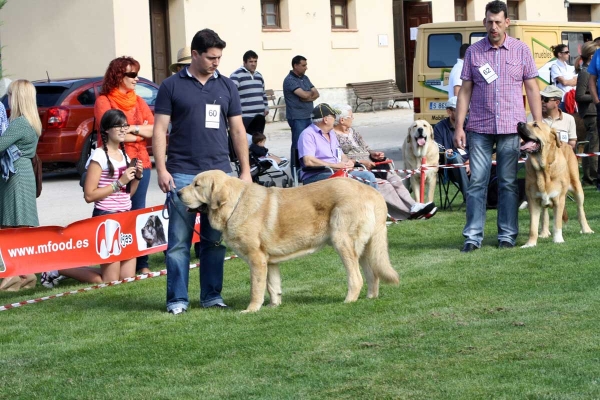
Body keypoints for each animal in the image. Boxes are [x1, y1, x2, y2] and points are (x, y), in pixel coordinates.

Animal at [177, 170, 398, 314]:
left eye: (197, 185)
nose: (177, 193)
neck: (234, 205)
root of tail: (373, 193)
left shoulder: (257, 259)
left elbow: (256, 288)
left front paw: (251, 309)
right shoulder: (269, 261)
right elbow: (273, 286)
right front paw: (273, 306)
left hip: (342, 241)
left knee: (356, 278)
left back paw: (348, 300)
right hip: (365, 247)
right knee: (372, 275)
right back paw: (370, 298)